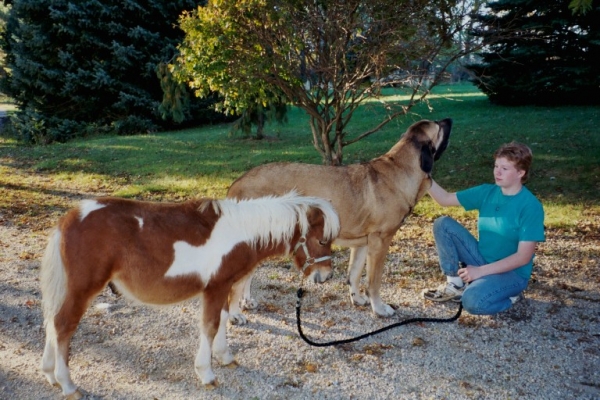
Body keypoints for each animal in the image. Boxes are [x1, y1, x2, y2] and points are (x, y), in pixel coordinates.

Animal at [39, 192, 340, 398]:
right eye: (322, 240)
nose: (325, 275)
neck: (241, 232)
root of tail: (68, 219)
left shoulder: (223, 287)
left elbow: (223, 319)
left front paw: (225, 356)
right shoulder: (216, 287)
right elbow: (210, 326)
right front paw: (206, 373)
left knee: (52, 322)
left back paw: (50, 374)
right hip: (82, 289)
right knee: (63, 326)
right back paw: (67, 384)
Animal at [227, 118, 452, 318]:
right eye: (438, 126)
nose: (449, 119)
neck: (400, 168)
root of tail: (237, 183)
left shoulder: (363, 243)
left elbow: (354, 273)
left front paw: (357, 298)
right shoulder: (380, 242)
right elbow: (374, 281)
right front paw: (379, 308)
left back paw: (246, 302)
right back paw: (235, 313)